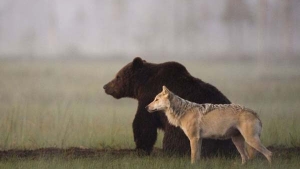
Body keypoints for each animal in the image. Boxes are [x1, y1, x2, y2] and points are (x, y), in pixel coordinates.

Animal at [103, 57, 237, 157]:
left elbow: (144, 123)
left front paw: (141, 148)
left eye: (118, 76)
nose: (105, 86)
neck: (142, 84)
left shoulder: (149, 97)